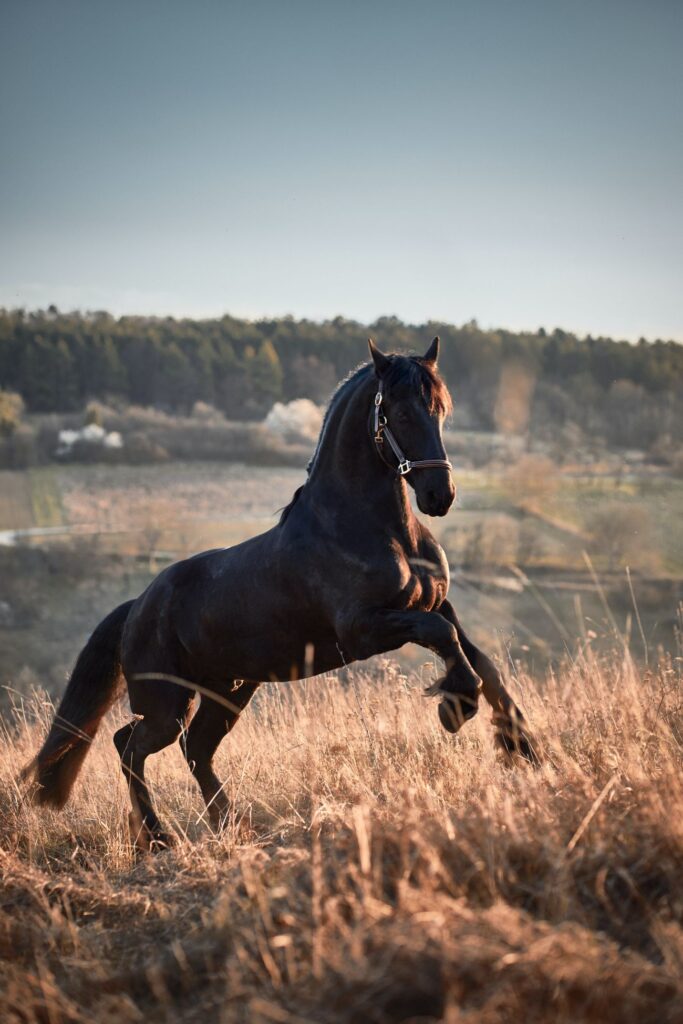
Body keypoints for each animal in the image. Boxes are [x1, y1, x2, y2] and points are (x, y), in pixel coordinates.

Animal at [26, 337, 540, 847]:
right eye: (399, 411)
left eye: (440, 410)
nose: (440, 495)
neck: (374, 529)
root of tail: (136, 608)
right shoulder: (365, 630)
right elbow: (447, 644)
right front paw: (456, 708)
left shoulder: (436, 604)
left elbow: (479, 660)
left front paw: (525, 748)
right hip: (166, 704)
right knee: (131, 746)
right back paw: (159, 838)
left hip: (228, 692)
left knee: (194, 748)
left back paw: (229, 824)